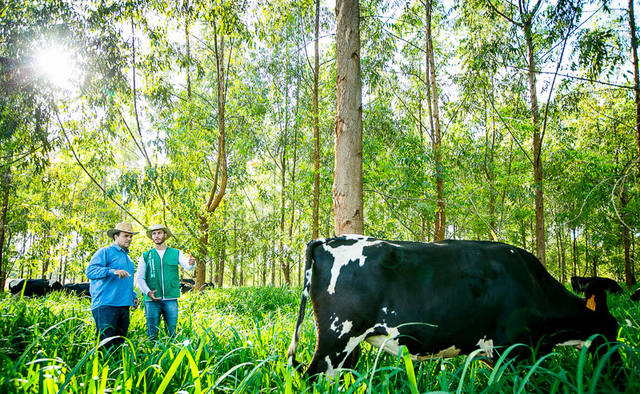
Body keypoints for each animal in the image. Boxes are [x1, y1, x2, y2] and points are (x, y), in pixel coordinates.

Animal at [288, 235, 620, 378]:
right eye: (612, 329)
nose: (619, 373)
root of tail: (330, 240)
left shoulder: (494, 354)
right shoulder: (512, 349)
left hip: (348, 346)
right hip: (335, 341)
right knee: (311, 376)